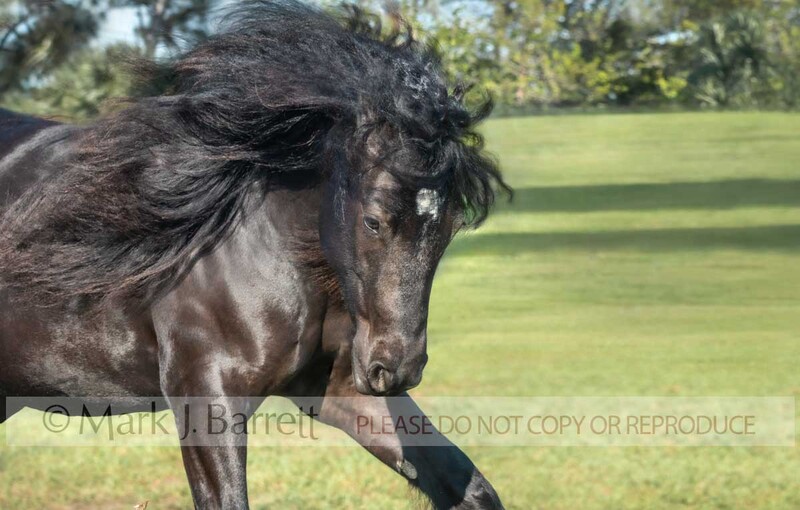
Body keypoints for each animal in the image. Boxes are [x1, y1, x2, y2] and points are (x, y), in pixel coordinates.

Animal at [0, 2, 509, 508]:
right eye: (373, 221)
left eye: (449, 228)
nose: (397, 368)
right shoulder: (205, 395)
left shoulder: (338, 388)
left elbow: (470, 486)